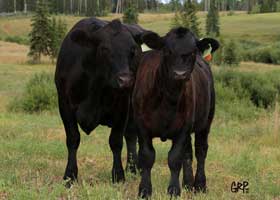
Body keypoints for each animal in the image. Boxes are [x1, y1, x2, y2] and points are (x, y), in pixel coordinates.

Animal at [55, 18, 147, 185]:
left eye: (132, 50)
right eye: (105, 49)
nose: (125, 80)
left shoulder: (122, 107)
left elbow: (116, 141)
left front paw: (118, 175)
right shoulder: (64, 105)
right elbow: (73, 138)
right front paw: (69, 176)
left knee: (134, 136)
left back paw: (136, 168)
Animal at [132, 27, 220, 198]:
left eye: (192, 52)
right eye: (167, 50)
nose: (180, 74)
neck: (168, 100)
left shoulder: (183, 129)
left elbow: (175, 158)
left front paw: (173, 190)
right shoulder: (141, 126)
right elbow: (147, 156)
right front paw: (144, 190)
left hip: (206, 121)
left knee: (200, 150)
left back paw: (199, 185)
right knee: (189, 153)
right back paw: (187, 183)